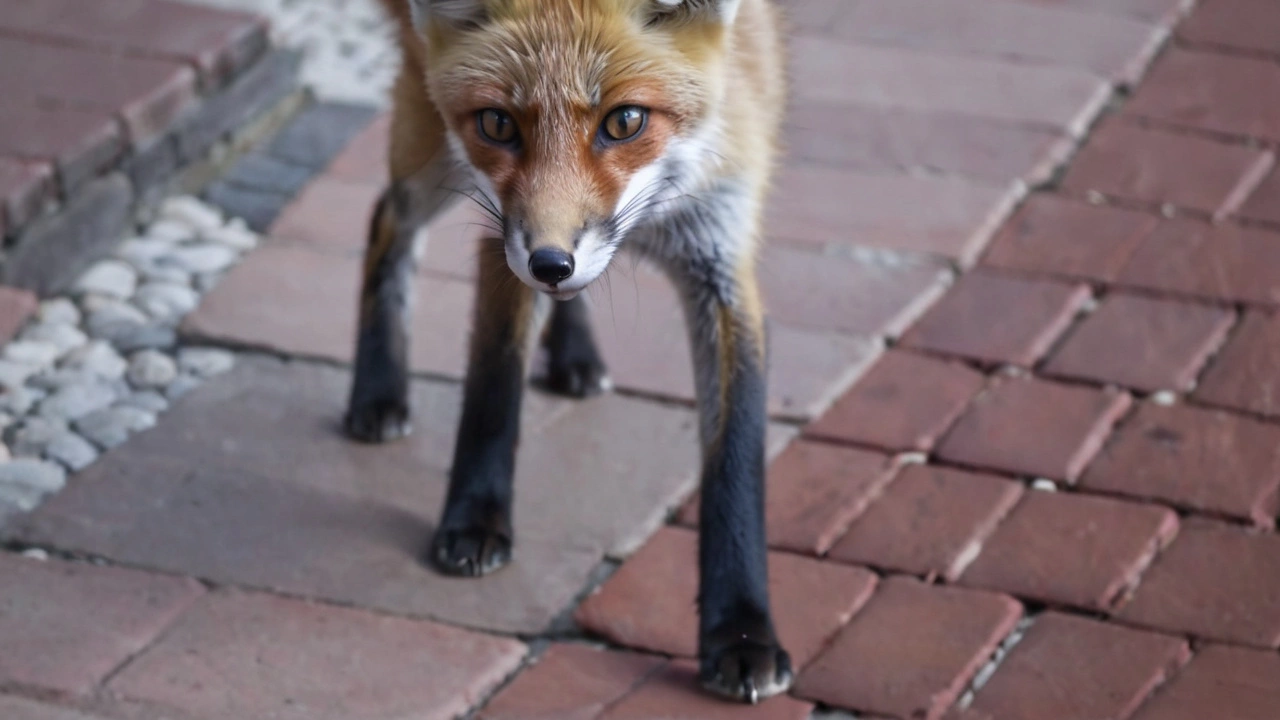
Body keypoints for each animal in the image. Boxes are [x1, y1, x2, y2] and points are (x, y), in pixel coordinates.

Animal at [350, 0, 788, 702]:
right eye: (498, 123)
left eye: (626, 121)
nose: (550, 262)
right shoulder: (502, 233)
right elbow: (493, 388)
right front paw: (475, 520)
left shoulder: (722, 259)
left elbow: (736, 460)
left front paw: (742, 633)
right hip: (432, 148)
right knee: (385, 218)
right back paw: (378, 392)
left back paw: (574, 354)